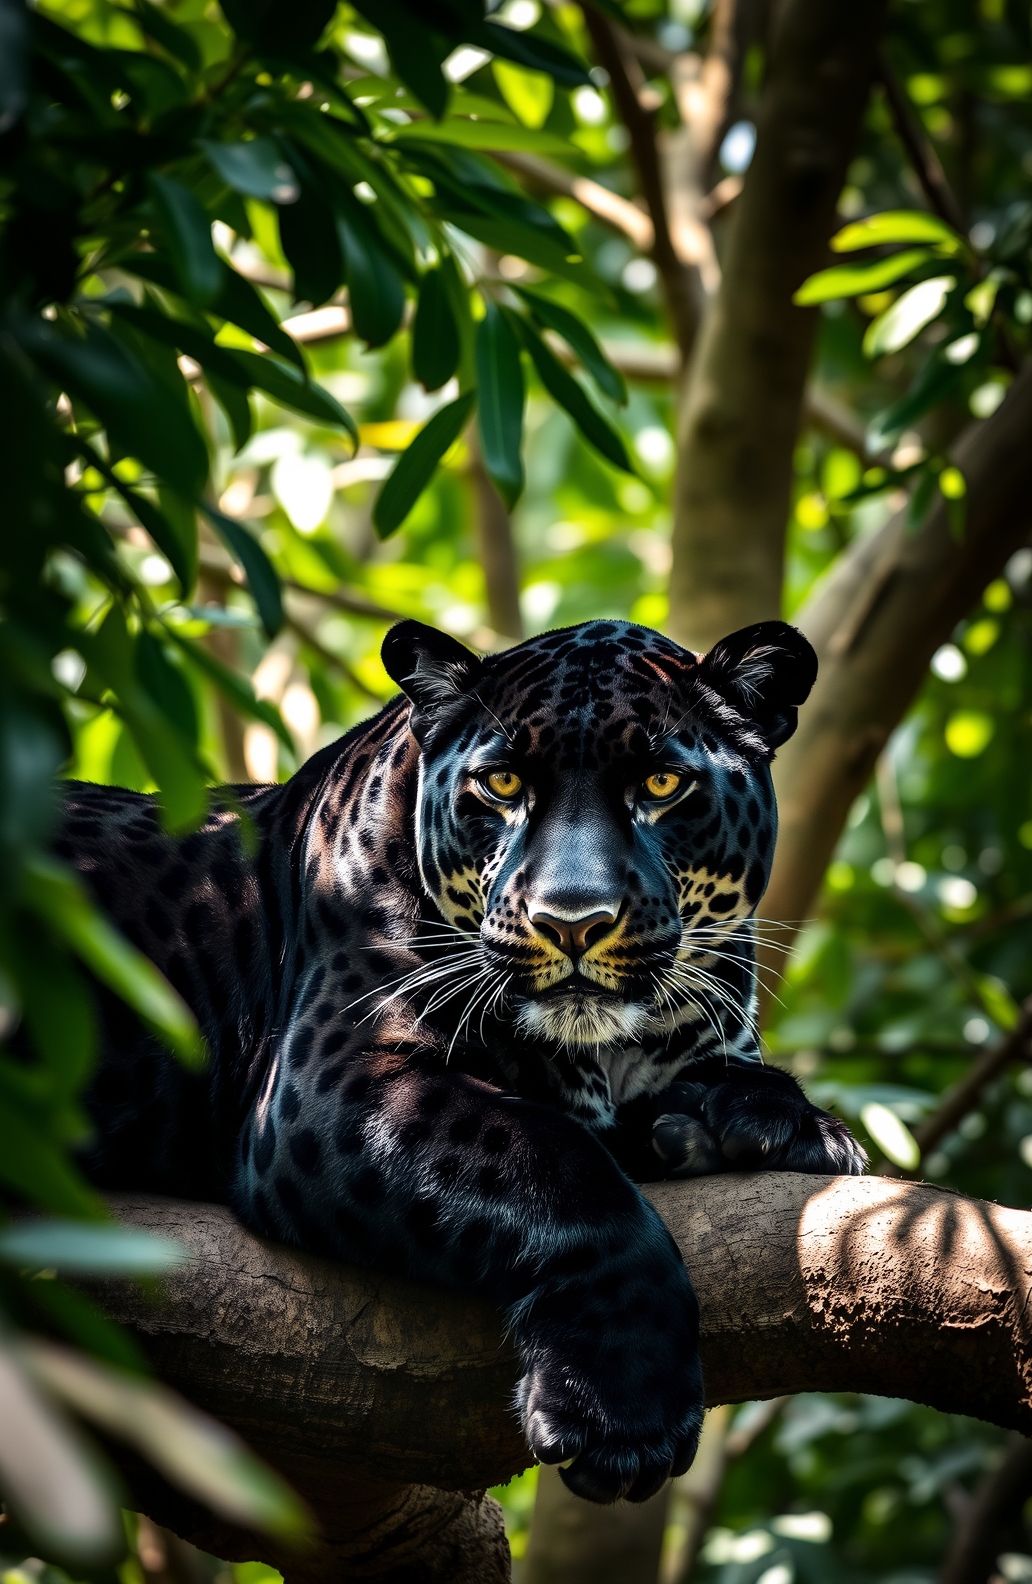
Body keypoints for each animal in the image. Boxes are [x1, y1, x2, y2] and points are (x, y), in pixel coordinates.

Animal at [57, 616, 866, 1505]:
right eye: (502, 783)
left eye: (661, 783)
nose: (572, 920)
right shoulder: (335, 1083)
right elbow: (559, 1167)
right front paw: (620, 1413)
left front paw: (777, 1125)